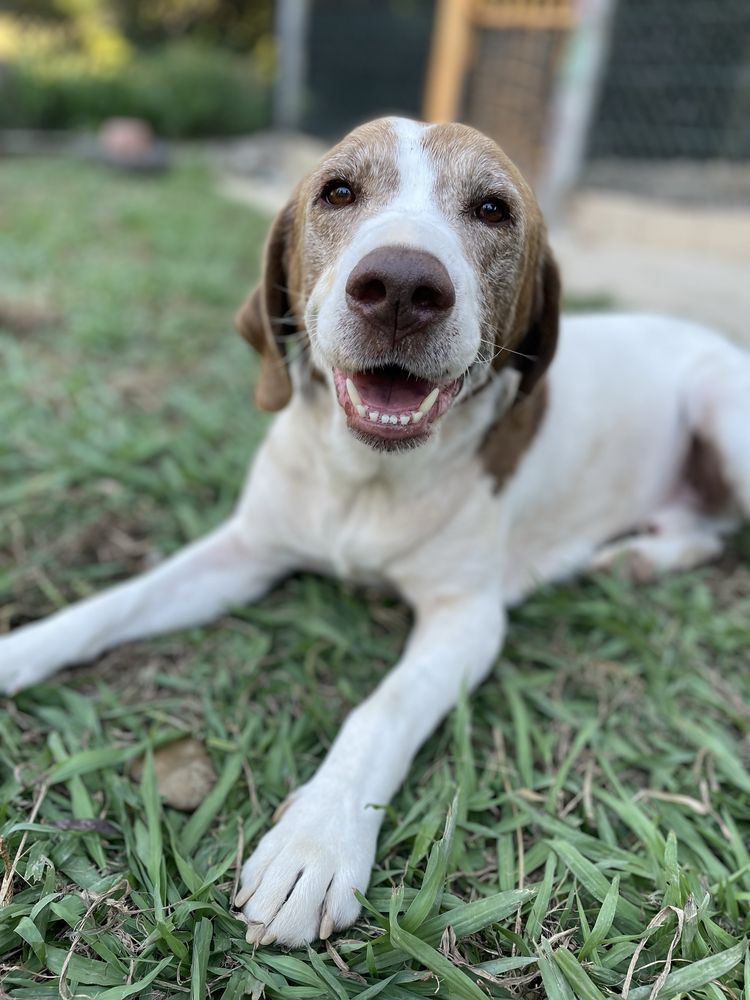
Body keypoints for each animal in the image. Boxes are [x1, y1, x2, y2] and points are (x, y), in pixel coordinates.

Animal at [1, 117, 750, 944]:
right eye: (338, 191)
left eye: (493, 209)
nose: (400, 286)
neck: (363, 477)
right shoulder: (246, 550)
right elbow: (116, 604)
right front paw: (21, 650)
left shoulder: (466, 622)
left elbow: (381, 709)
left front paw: (315, 840)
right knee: (706, 527)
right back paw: (639, 558)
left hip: (724, 407)